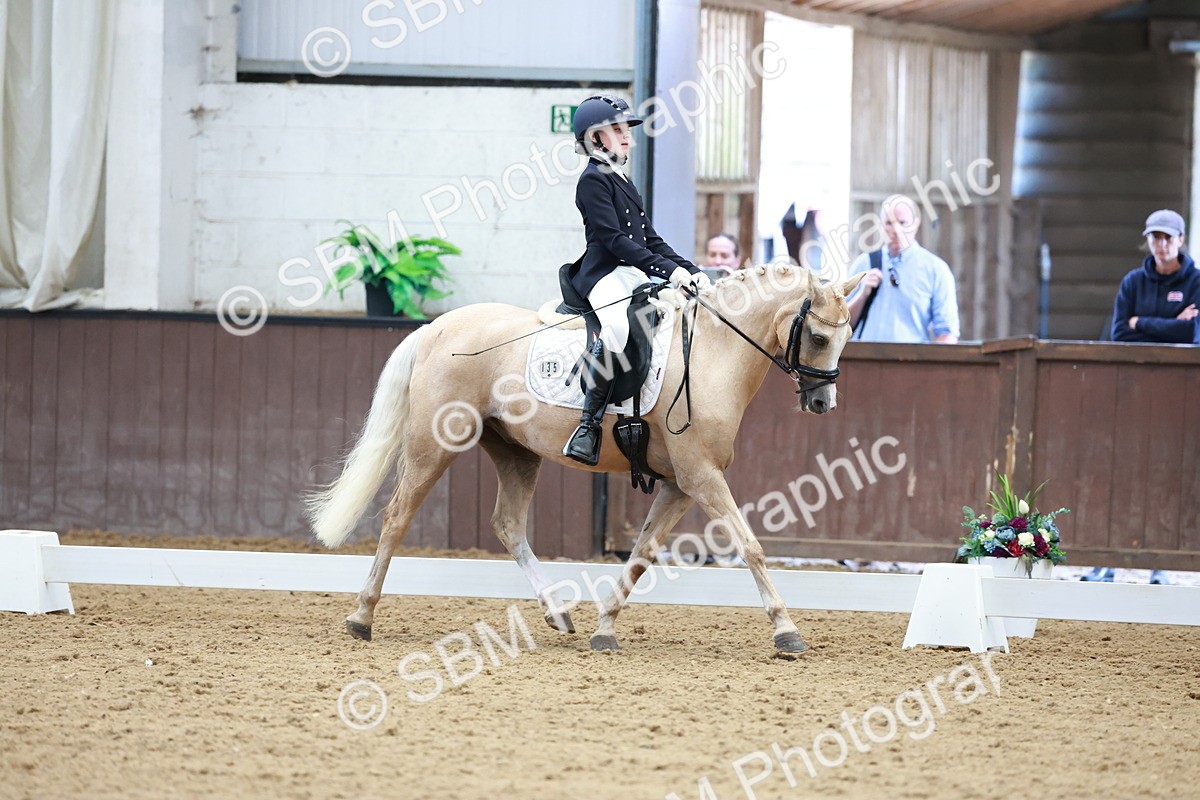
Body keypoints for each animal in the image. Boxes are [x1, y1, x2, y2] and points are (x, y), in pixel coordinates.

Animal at [306, 264, 863, 653]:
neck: (711, 354)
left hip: (515, 451)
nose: (822, 402)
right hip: (434, 442)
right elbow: (751, 548)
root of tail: (435, 328)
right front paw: (787, 630)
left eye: (847, 334)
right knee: (397, 516)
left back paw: (558, 613)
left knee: (508, 524)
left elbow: (640, 556)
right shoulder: (701, 477)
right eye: (818, 336)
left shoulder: (678, 484)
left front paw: (605, 629)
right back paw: (361, 618)